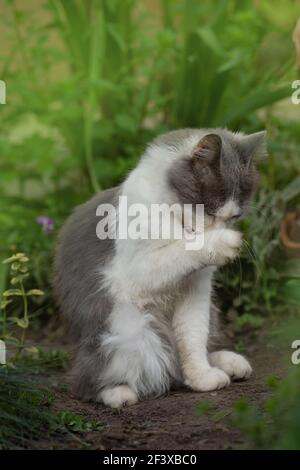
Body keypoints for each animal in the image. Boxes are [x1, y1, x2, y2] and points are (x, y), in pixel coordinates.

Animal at [52, 127, 266, 408]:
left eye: (233, 217)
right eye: (208, 211)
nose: (219, 229)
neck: (176, 220)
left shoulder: (197, 289)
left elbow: (192, 337)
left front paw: (202, 377)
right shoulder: (134, 272)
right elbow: (178, 252)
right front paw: (222, 242)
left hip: (208, 312)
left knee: (182, 356)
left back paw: (227, 363)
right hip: (128, 328)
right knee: (87, 380)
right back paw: (118, 394)